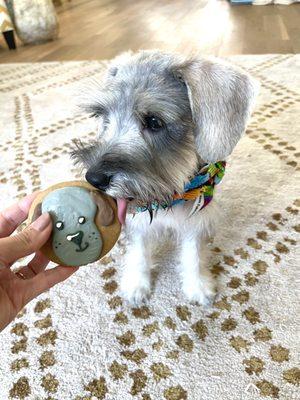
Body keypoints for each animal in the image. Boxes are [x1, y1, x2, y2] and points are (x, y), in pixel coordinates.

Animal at [71, 50, 258, 306]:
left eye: (154, 121)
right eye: (103, 117)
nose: (94, 178)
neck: (172, 196)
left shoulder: (197, 221)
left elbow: (194, 254)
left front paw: (197, 285)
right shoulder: (138, 222)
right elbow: (139, 251)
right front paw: (137, 284)